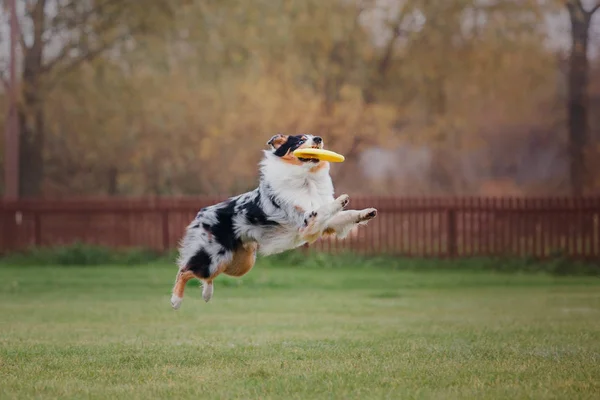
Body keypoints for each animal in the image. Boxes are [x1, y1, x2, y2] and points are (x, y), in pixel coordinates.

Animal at [171, 134, 376, 310]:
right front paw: (341, 200)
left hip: (239, 264)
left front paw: (366, 212)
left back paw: (206, 294)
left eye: (314, 136)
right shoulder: (306, 222)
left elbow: (346, 215)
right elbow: (325, 209)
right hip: (214, 256)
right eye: (300, 139)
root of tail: (202, 212)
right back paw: (176, 300)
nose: (318, 139)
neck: (307, 179)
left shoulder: (326, 224)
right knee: (185, 269)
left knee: (205, 275)